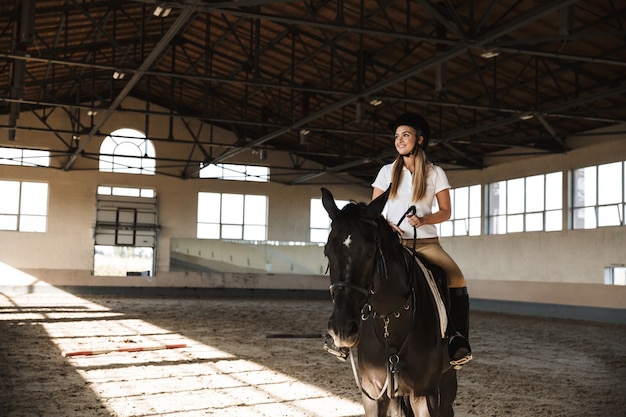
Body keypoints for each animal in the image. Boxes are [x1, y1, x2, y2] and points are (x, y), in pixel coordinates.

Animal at [322, 188, 454, 416]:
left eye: (369, 252)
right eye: (327, 251)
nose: (342, 329)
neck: (390, 319)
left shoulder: (425, 394)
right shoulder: (373, 393)